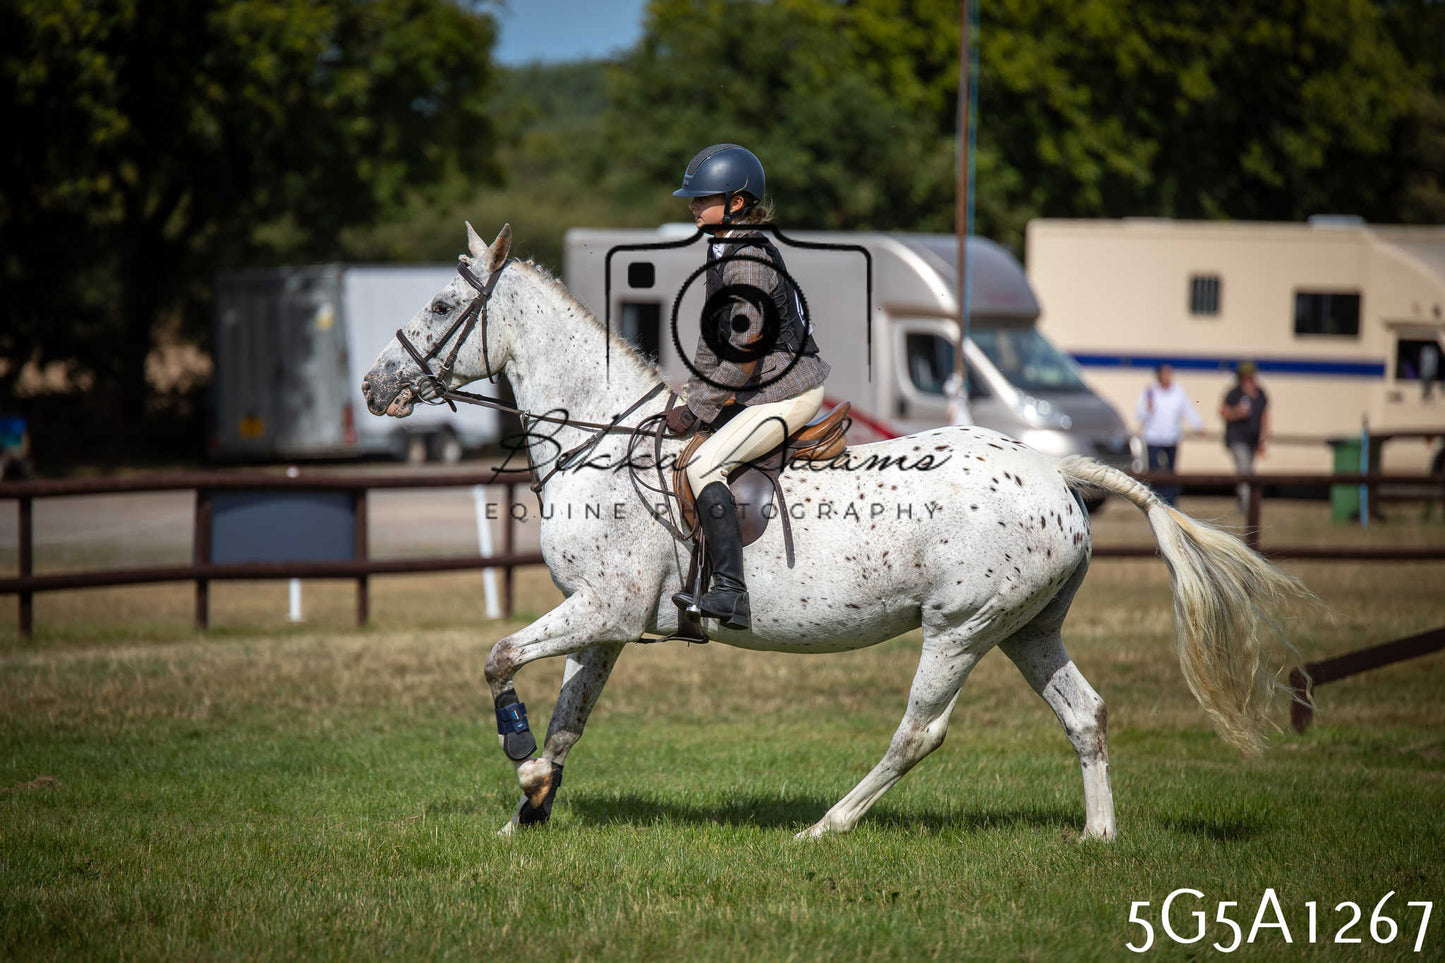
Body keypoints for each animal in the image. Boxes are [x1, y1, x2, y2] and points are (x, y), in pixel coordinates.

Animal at [361, 223, 1310, 841]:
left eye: (442, 303)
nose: (373, 388)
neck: (600, 440)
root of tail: (1054, 473)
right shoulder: (607, 620)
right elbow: (568, 717)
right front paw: (528, 810)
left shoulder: (607, 610)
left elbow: (499, 661)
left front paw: (520, 767)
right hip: (1026, 627)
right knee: (1085, 713)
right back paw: (1097, 837)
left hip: (959, 627)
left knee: (920, 732)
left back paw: (827, 825)